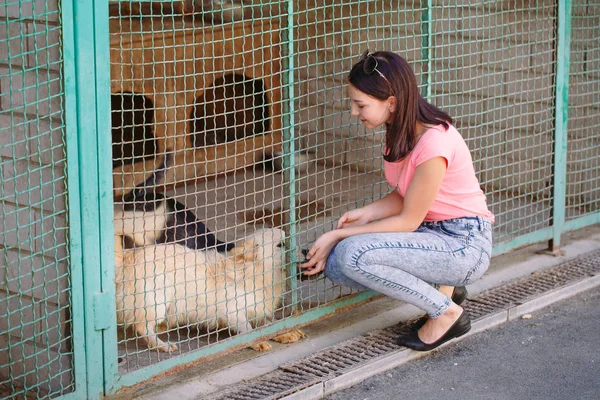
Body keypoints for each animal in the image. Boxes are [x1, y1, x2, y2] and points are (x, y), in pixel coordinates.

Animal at [113, 230, 304, 352]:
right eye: (281, 244)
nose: (305, 250)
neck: (252, 272)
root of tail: (127, 257)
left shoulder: (259, 308)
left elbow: (271, 322)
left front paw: (285, 332)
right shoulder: (233, 312)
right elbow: (248, 328)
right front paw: (257, 342)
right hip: (157, 302)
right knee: (142, 327)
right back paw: (162, 345)